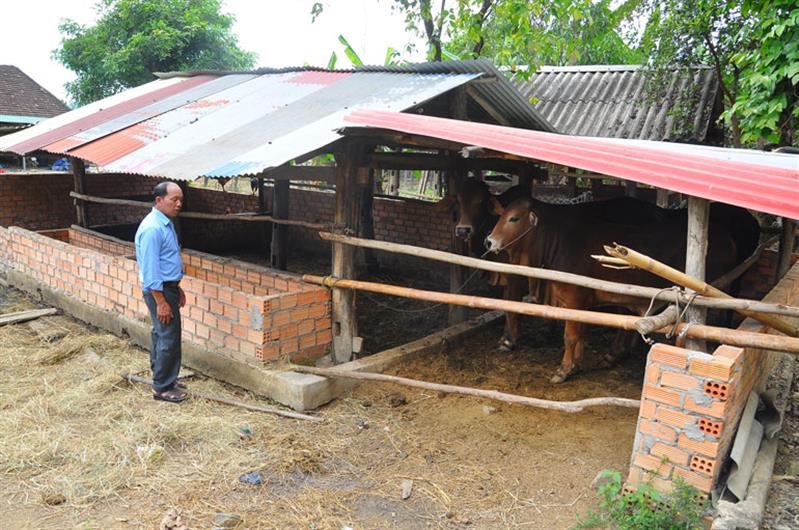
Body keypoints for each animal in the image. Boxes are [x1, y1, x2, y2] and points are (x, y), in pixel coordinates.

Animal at [488, 196, 756, 382]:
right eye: (502, 215)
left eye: (514, 218)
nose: (488, 241)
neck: (558, 241)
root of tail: (725, 237)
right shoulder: (582, 303)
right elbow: (581, 333)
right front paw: (577, 363)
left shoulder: (574, 299)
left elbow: (570, 336)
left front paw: (563, 370)